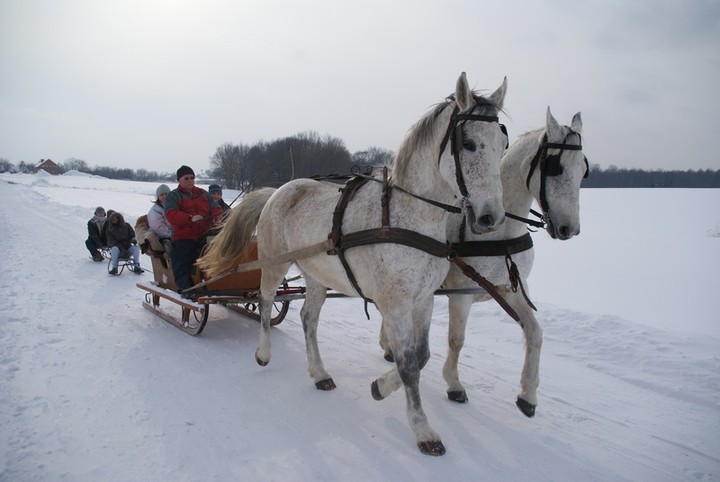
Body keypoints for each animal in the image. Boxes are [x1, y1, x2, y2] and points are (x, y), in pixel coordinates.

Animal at [200, 72, 510, 456]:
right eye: (468, 143)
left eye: (503, 144)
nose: (490, 217)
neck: (409, 217)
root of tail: (278, 190)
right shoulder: (395, 304)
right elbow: (409, 364)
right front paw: (423, 429)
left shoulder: (423, 300)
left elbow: (421, 355)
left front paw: (380, 386)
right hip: (273, 265)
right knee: (265, 302)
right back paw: (263, 353)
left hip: (316, 275)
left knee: (308, 319)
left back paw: (319, 373)